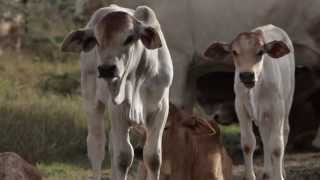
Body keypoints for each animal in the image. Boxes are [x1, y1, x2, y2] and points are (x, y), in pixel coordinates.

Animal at [61, 4, 174, 180]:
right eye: (97, 40)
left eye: (129, 38)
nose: (106, 69)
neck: (138, 77)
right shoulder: (118, 109)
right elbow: (124, 156)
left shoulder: (161, 110)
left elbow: (153, 157)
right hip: (92, 102)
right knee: (97, 145)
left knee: (112, 148)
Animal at [205, 24, 296, 180]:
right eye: (234, 52)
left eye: (260, 52)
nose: (247, 75)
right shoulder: (240, 107)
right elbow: (248, 143)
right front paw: (250, 176)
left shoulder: (277, 108)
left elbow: (277, 146)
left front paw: (278, 176)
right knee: (265, 138)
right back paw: (267, 172)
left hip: (287, 101)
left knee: (284, 132)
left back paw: (281, 170)